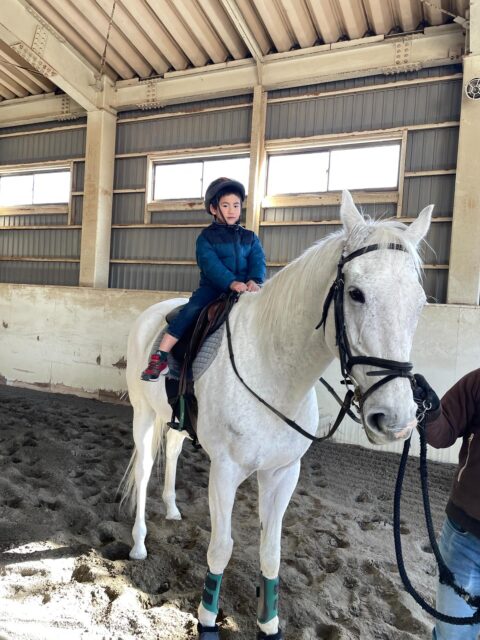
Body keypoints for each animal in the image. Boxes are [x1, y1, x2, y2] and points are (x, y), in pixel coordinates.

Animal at [122, 191, 433, 639]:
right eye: (356, 293)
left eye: (420, 303)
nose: (395, 419)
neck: (274, 369)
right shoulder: (226, 472)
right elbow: (221, 548)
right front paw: (207, 620)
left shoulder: (283, 472)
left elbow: (271, 551)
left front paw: (269, 624)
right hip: (143, 417)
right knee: (145, 469)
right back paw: (139, 543)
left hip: (176, 424)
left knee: (175, 453)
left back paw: (173, 509)